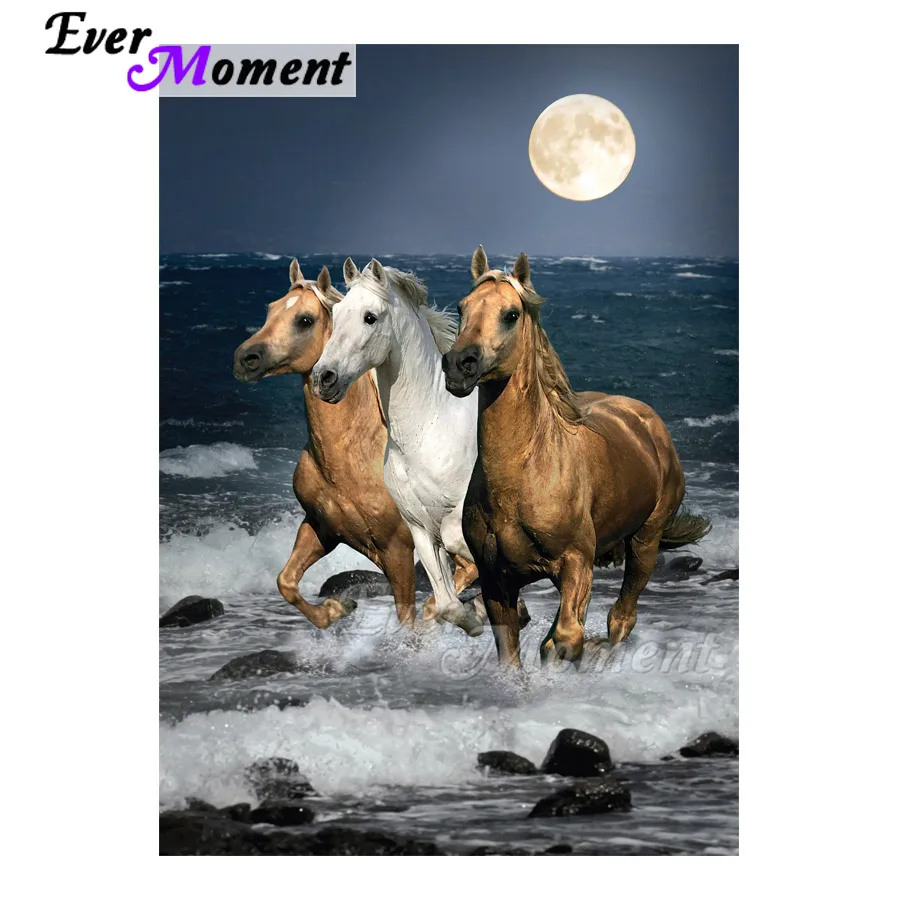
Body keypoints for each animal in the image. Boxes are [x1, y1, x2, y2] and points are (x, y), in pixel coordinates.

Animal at [233, 258, 478, 631]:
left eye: (305, 320)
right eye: (271, 309)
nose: (245, 358)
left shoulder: (397, 551)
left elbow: (410, 618)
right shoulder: (321, 528)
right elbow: (285, 581)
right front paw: (337, 609)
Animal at [311, 259, 529, 638]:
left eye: (370, 317)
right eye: (335, 314)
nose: (324, 378)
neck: (427, 432)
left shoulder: (460, 518)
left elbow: (461, 546)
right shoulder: (419, 527)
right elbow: (445, 602)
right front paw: (474, 620)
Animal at [442, 246, 709, 667]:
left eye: (511, 314)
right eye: (462, 306)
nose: (459, 365)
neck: (525, 474)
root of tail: (649, 423)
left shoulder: (576, 562)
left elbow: (566, 640)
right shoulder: (496, 581)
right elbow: (514, 653)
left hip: (645, 542)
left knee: (622, 617)